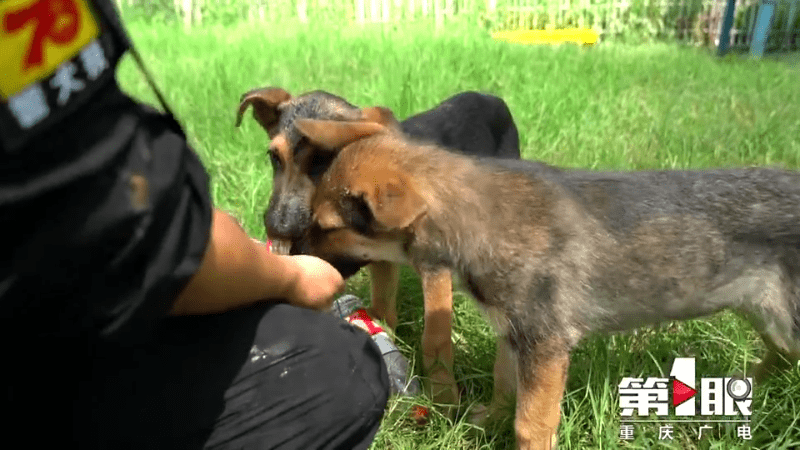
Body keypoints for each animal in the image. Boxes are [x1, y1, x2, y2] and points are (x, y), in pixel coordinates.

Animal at [236, 88, 524, 404]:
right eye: (274, 157)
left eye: (323, 159)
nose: (277, 227)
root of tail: (488, 96)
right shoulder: (379, 256)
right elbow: (384, 308)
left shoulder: (434, 269)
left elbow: (435, 337)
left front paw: (444, 398)